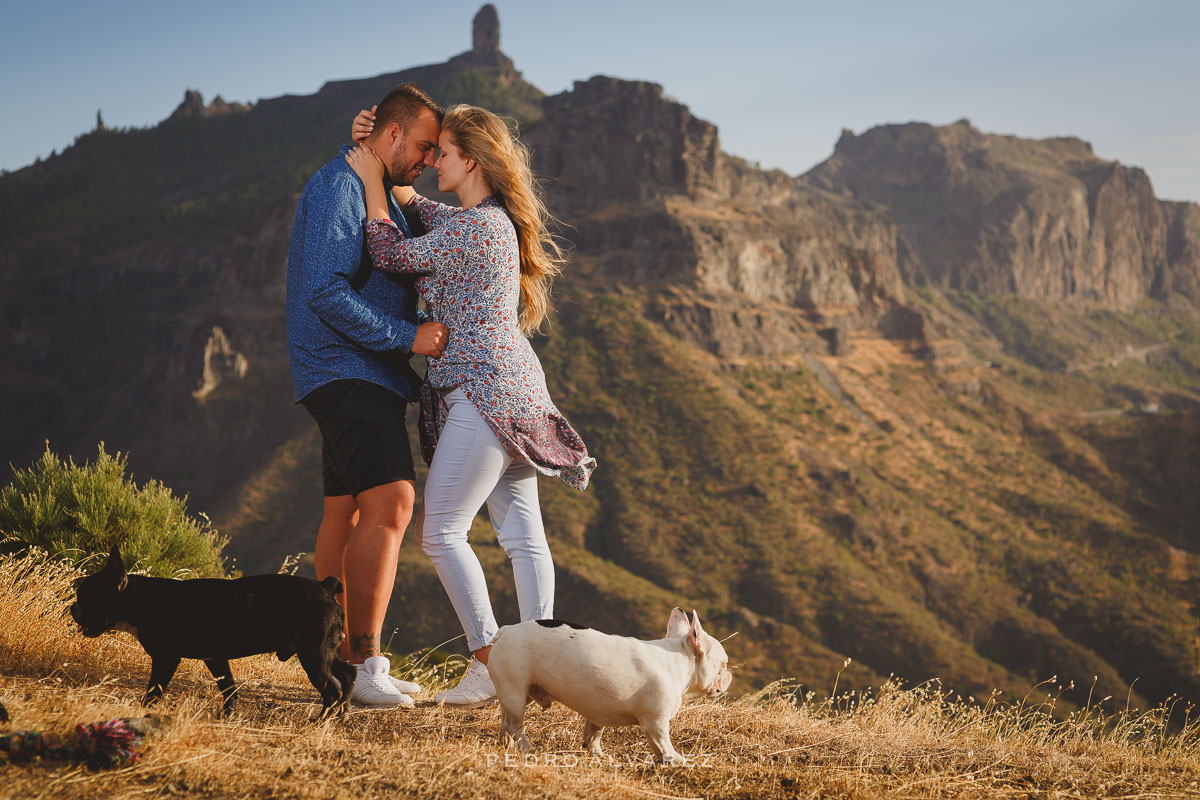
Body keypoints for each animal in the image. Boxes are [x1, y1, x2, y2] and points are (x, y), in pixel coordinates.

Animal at [69, 546, 350, 714]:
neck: (141, 600)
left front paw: (143, 709)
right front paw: (226, 716)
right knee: (348, 674)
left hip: (313, 657)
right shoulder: (215, 659)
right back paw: (342, 715)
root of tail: (326, 588)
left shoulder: (166, 658)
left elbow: (153, 689)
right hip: (323, 654)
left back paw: (322, 720)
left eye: (86, 596)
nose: (72, 606)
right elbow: (229, 689)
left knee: (331, 691)